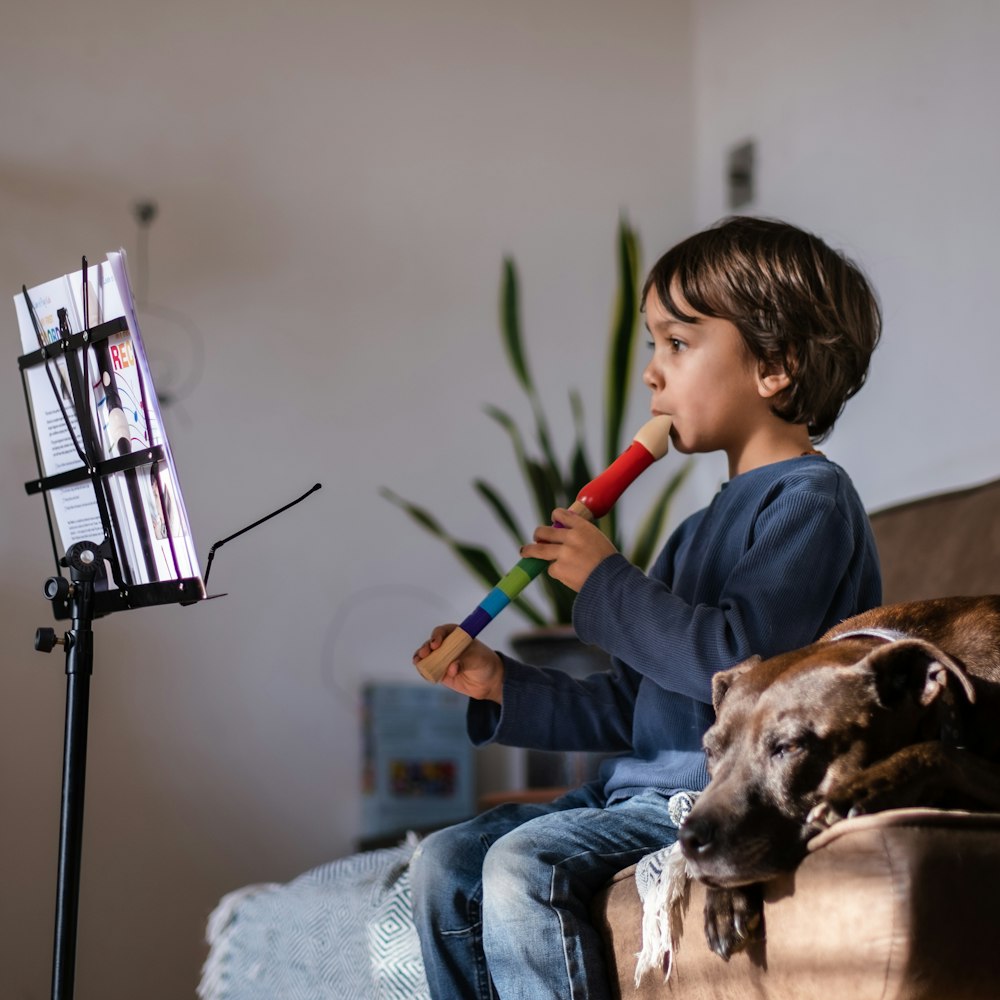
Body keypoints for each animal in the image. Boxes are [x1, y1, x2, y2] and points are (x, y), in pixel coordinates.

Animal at [680, 596, 1000, 956]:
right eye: (710, 750)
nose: (688, 840)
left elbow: (939, 751)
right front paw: (724, 899)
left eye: (789, 747)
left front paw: (861, 790)